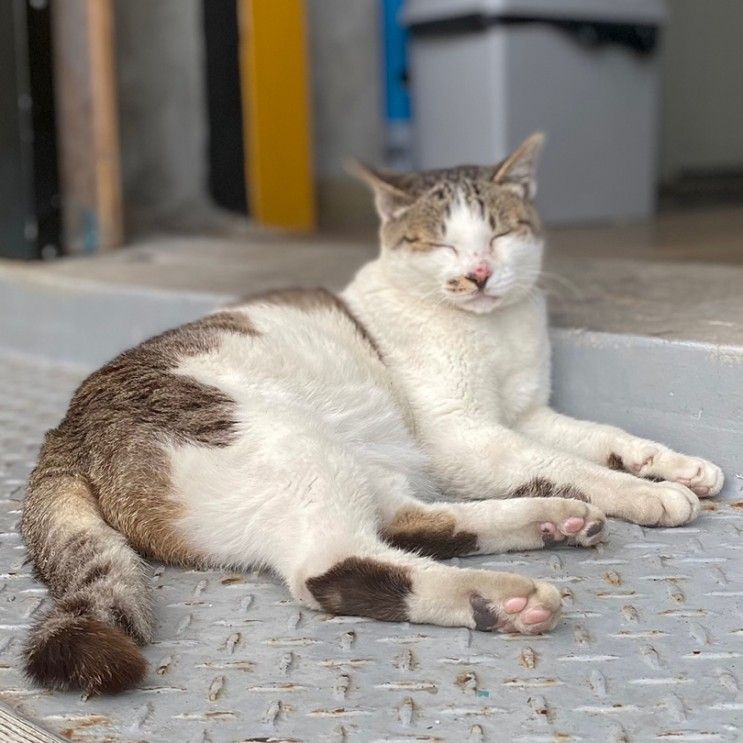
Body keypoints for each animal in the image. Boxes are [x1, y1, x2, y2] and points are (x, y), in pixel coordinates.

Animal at [20, 135, 724, 696]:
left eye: (498, 234)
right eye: (440, 243)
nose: (478, 273)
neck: (495, 333)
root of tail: (66, 427)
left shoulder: (528, 412)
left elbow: (603, 438)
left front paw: (675, 467)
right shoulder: (464, 435)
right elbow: (570, 461)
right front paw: (646, 493)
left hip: (349, 460)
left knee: (406, 521)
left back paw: (553, 519)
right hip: (287, 442)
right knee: (333, 567)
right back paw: (503, 597)